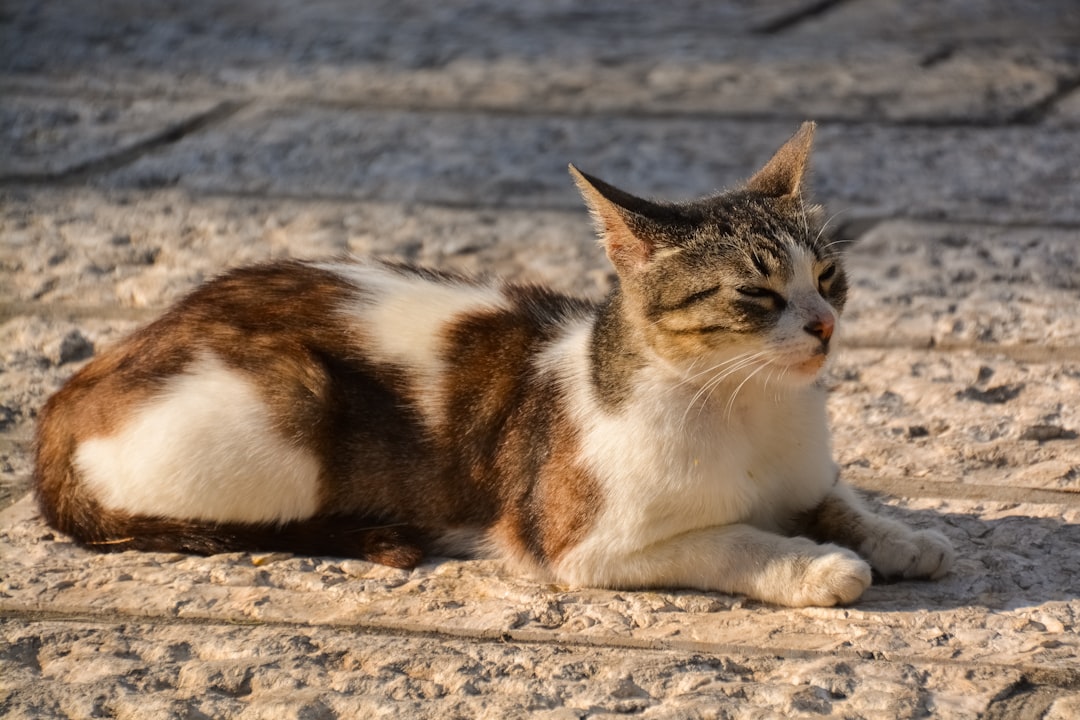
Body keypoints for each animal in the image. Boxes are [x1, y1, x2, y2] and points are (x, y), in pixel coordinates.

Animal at [31, 124, 954, 608]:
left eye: (828, 278)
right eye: (758, 295)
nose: (824, 326)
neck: (751, 409)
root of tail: (73, 390)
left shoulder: (811, 477)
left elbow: (845, 502)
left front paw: (904, 538)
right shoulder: (586, 547)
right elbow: (732, 541)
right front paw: (817, 565)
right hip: (287, 416)